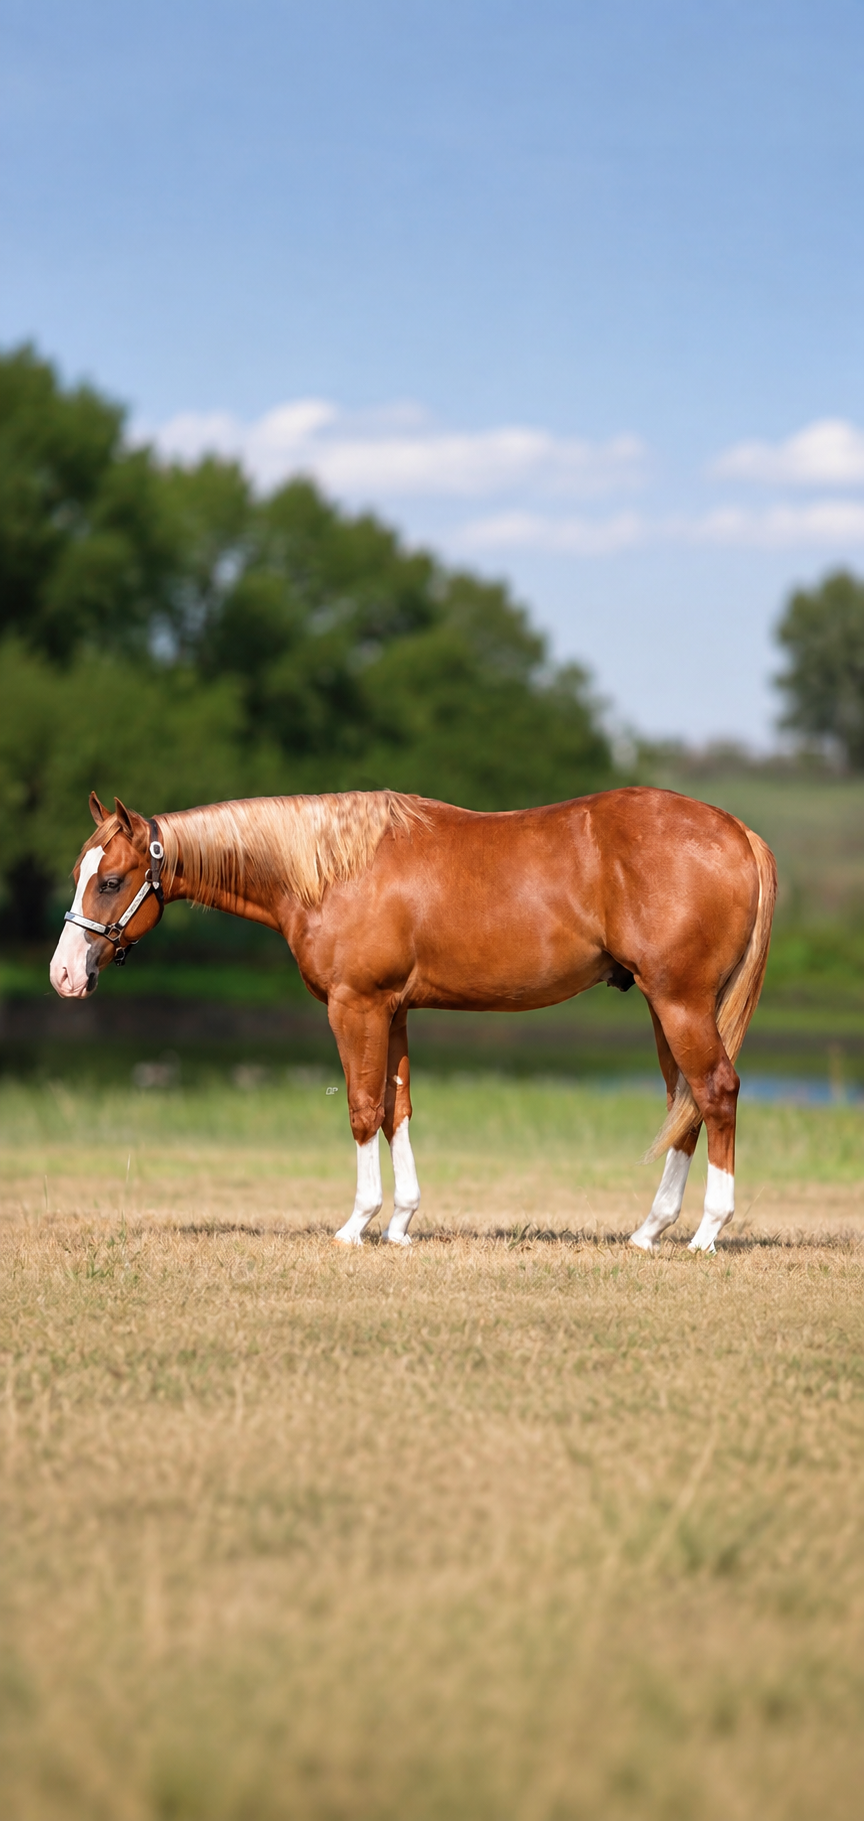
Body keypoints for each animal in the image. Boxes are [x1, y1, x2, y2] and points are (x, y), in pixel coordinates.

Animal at [49, 786, 776, 1254]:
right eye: (80, 871)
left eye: (110, 881)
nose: (63, 975)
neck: (332, 870)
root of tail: (737, 831)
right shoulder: (393, 1010)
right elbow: (396, 1108)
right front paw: (399, 1224)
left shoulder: (357, 1005)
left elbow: (362, 1108)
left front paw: (356, 1225)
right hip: (667, 1006)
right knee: (684, 1104)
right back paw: (650, 1231)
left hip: (680, 1002)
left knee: (715, 1092)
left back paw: (708, 1232)